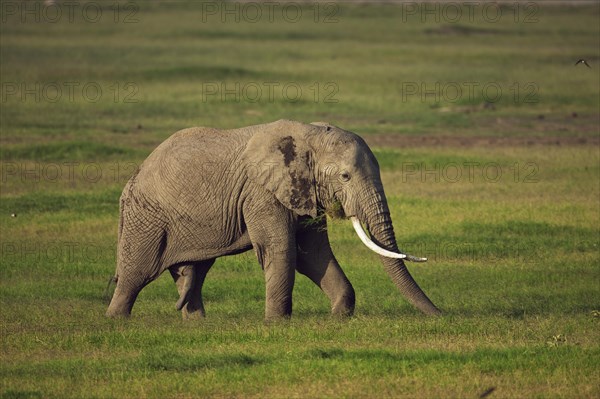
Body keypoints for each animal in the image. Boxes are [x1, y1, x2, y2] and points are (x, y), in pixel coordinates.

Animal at [105, 119, 440, 318]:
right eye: (345, 176)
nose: (441, 314)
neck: (310, 135)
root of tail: (135, 175)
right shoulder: (261, 193)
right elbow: (282, 250)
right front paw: (278, 324)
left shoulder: (304, 191)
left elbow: (312, 254)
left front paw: (338, 317)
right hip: (146, 216)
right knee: (136, 272)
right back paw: (117, 323)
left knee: (194, 273)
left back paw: (197, 324)